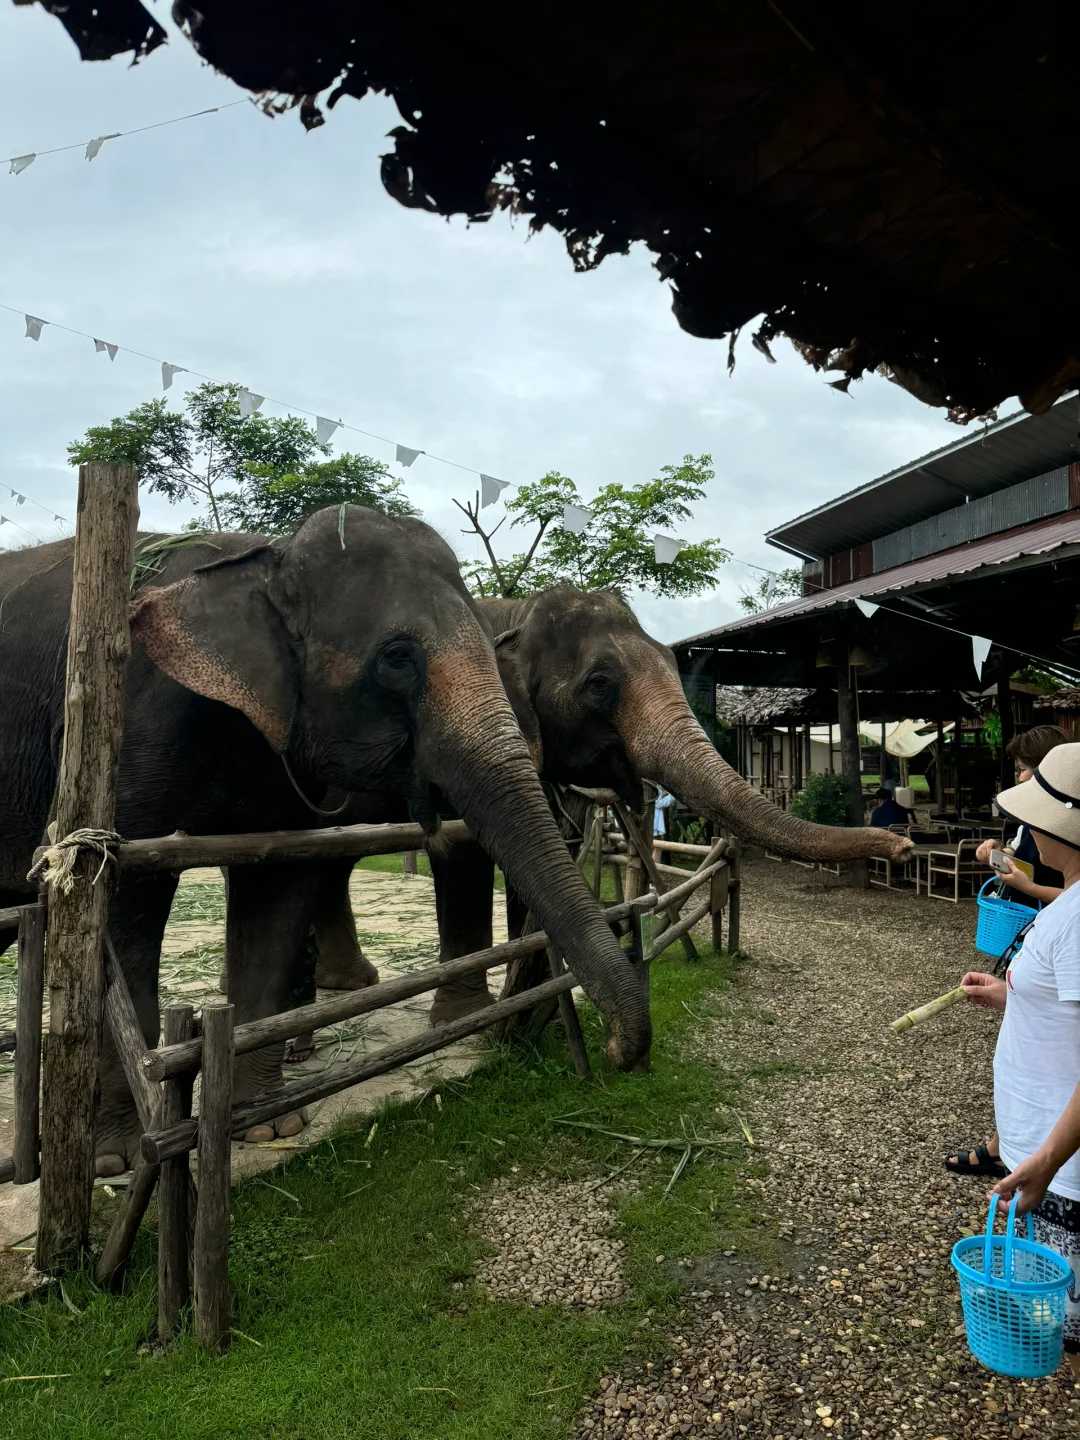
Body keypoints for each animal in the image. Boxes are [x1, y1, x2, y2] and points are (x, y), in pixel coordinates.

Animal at [0, 512, 650, 1175]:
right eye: (397, 658)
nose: (619, 1053)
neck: (268, 560)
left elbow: (277, 883)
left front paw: (265, 1126)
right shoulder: (134, 722)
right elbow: (124, 896)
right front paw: (116, 1162)